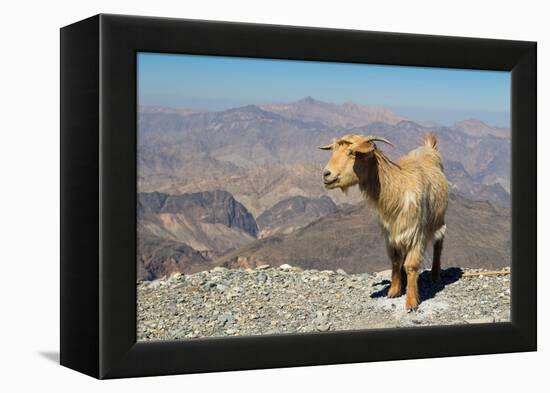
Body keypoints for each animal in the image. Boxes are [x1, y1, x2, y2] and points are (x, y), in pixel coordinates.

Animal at [322, 132, 450, 310]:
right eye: (333, 151)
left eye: (353, 153)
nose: (326, 174)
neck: (397, 189)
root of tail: (429, 148)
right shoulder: (390, 233)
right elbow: (395, 260)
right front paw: (394, 291)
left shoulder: (416, 232)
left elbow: (411, 265)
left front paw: (411, 302)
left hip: (439, 219)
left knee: (439, 243)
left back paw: (435, 275)